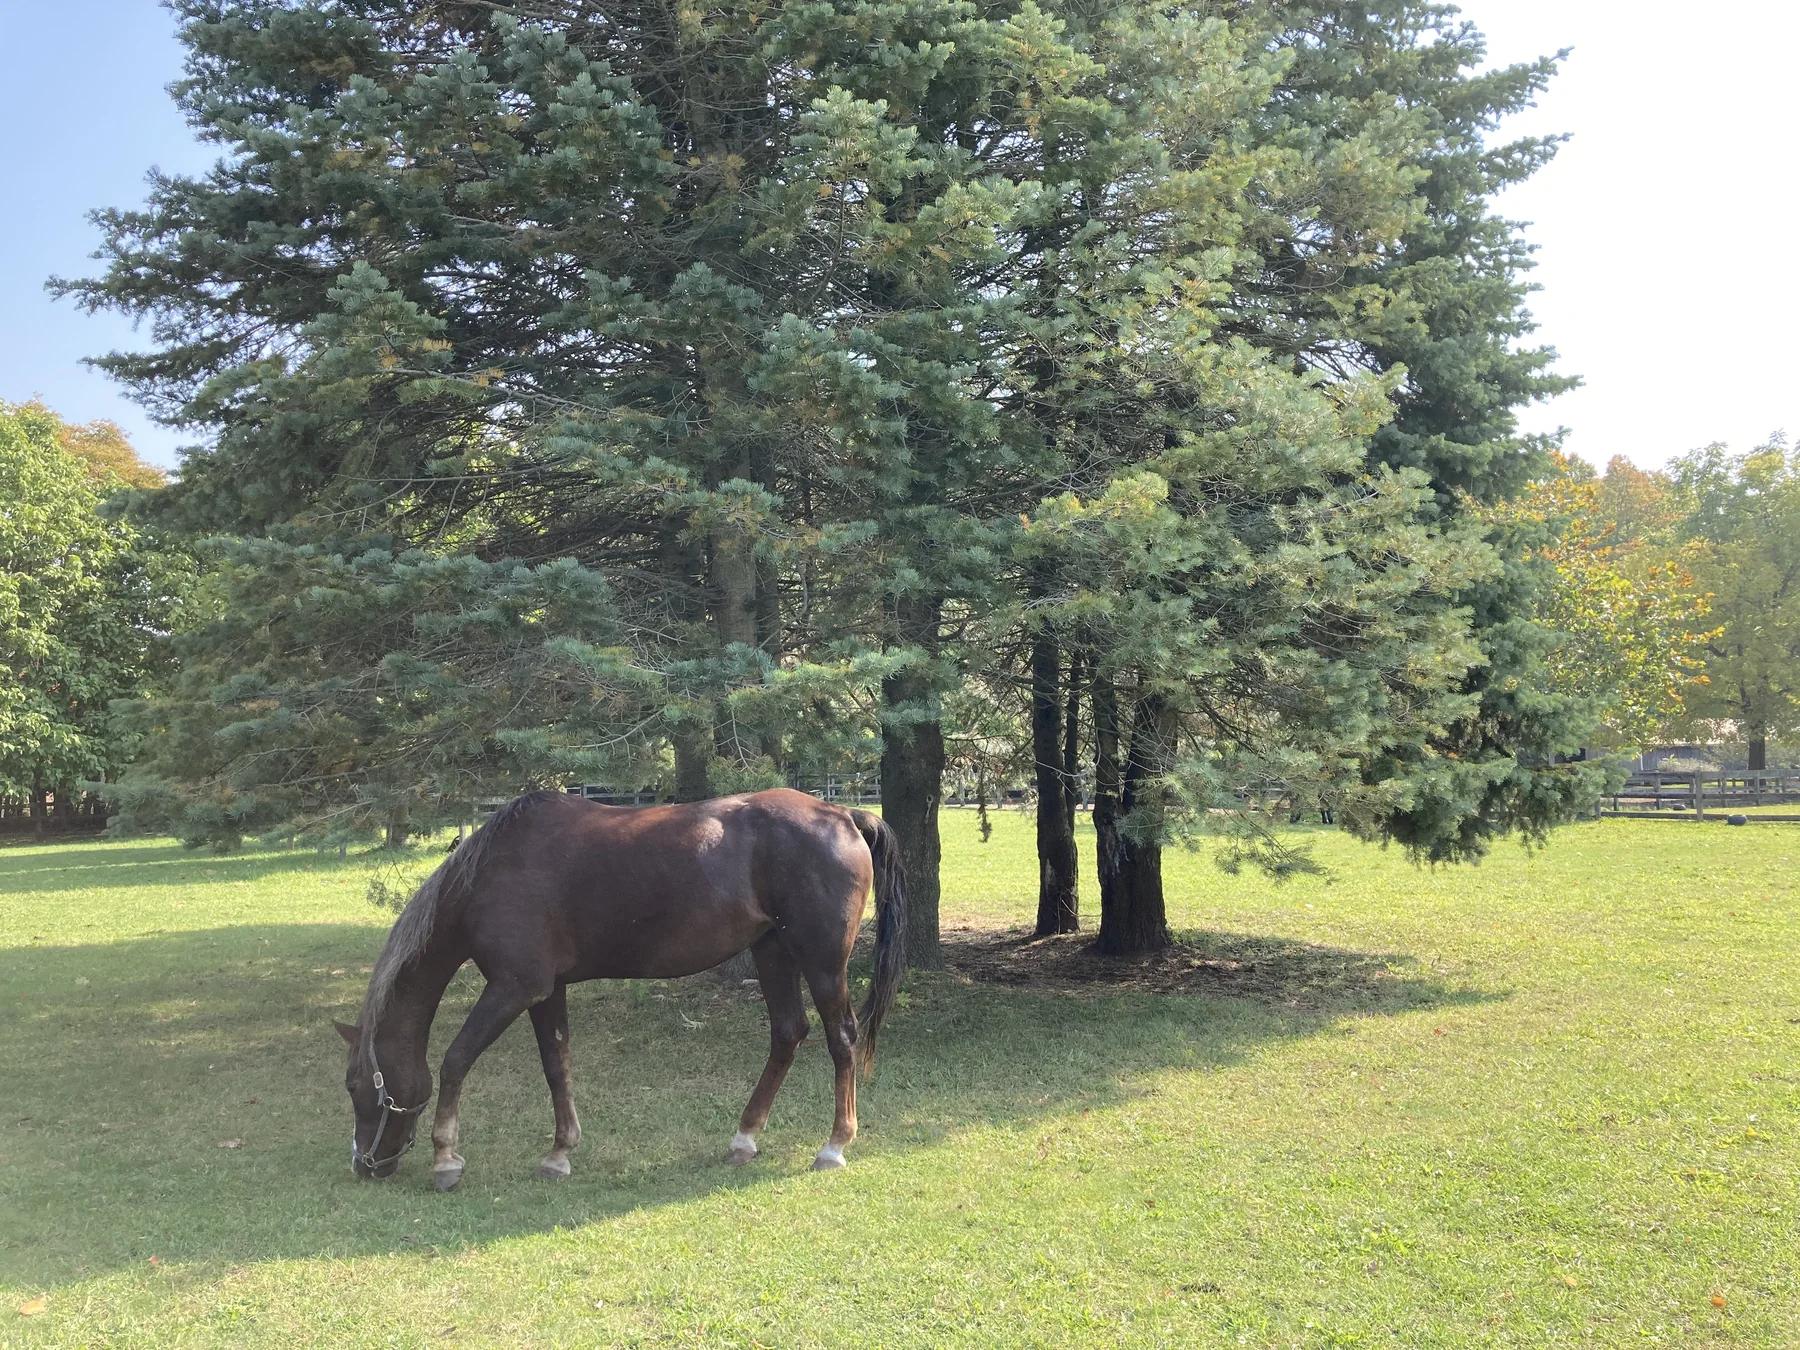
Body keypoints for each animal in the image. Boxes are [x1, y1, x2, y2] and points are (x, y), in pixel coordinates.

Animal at [332, 787, 906, 1189]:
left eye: (356, 1086)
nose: (365, 1164)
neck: (489, 877)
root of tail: (843, 815)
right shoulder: (545, 992)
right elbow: (556, 1067)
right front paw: (559, 1154)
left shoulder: (513, 989)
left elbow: (456, 1060)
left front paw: (446, 1159)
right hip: (772, 952)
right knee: (788, 1033)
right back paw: (744, 1139)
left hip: (822, 962)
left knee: (841, 1037)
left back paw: (833, 1146)